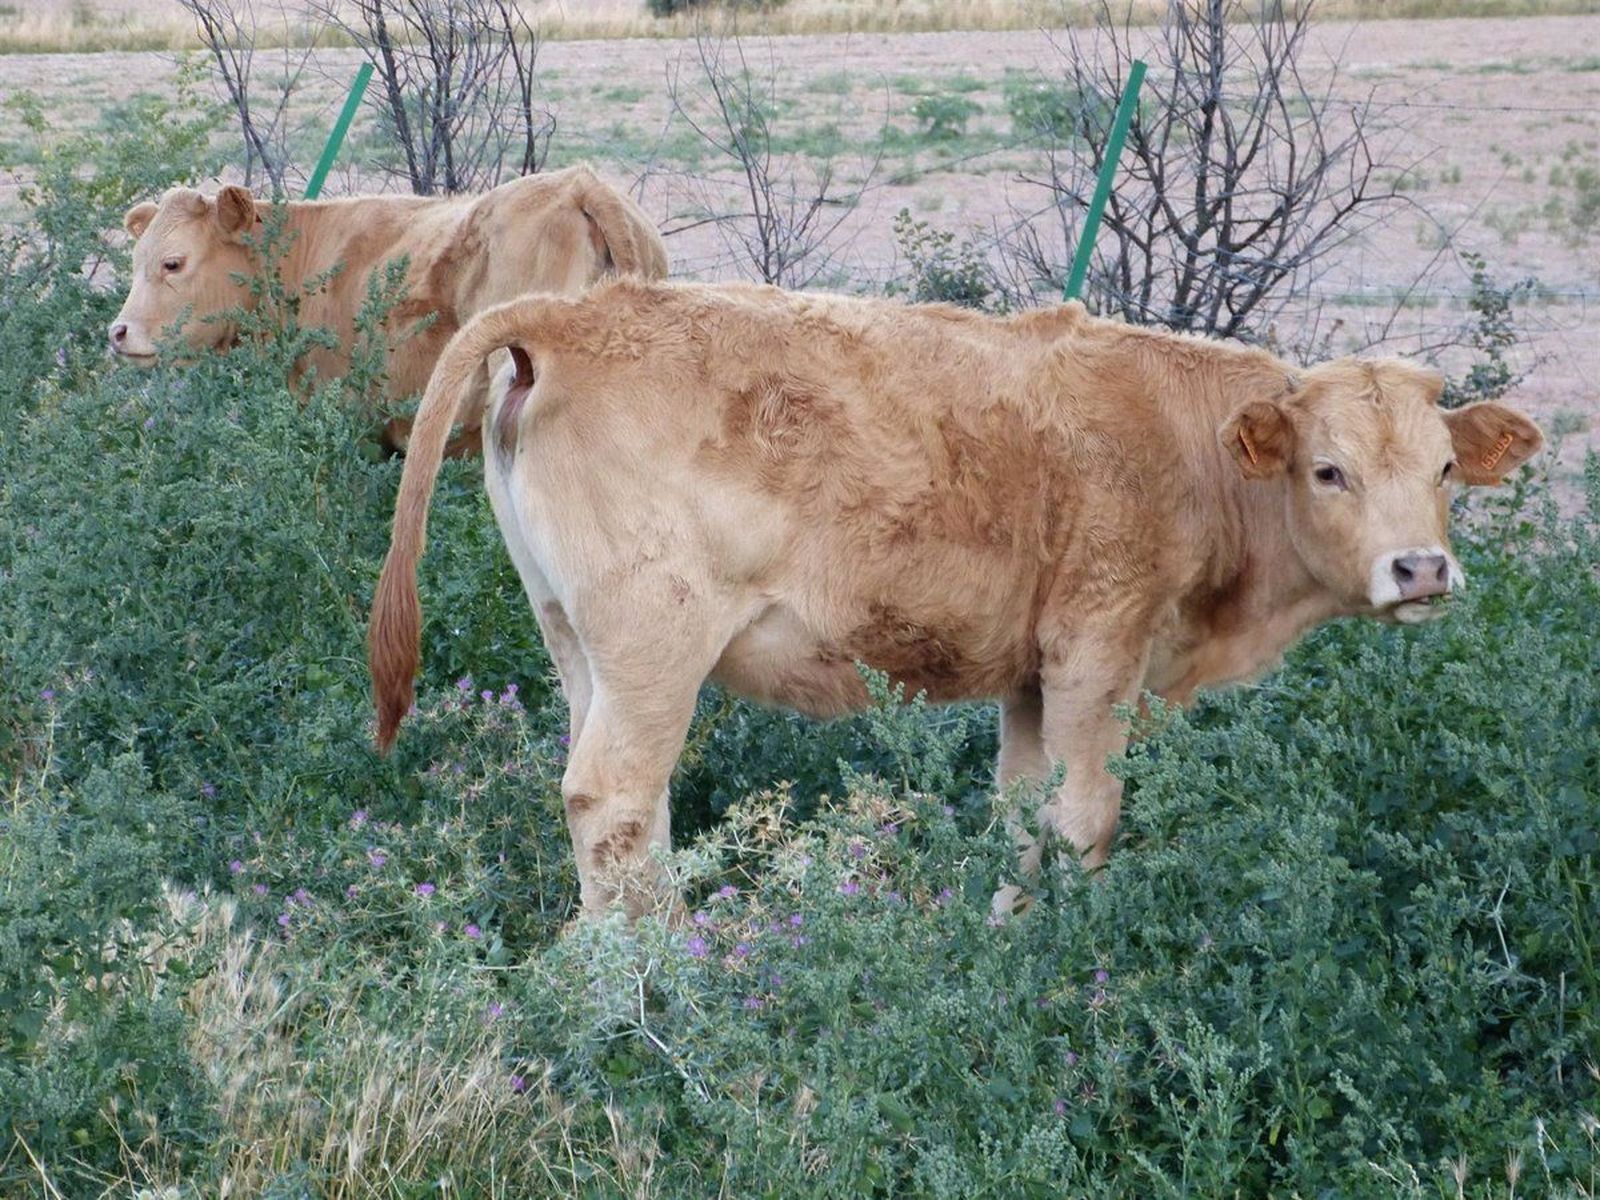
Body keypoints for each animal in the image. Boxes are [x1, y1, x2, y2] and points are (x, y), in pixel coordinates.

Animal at [367, 279, 1544, 921]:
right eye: (1328, 470)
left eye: (1445, 469)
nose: (1420, 570)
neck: (1189, 449)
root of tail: (568, 312)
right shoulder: (1097, 652)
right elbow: (1085, 817)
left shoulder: (1027, 680)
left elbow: (1022, 817)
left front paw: (1003, 938)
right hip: (657, 646)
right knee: (612, 799)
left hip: (578, 646)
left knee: (623, 806)